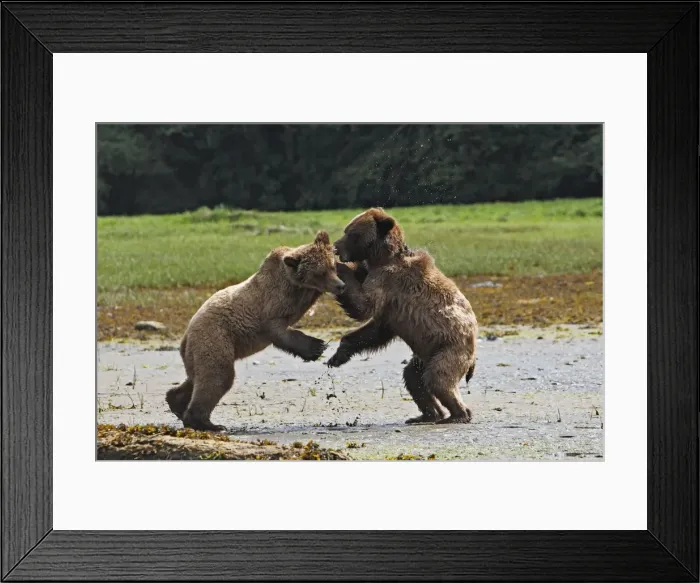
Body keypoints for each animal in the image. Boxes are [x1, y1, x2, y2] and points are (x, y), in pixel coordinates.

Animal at [166, 231, 345, 431]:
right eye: (320, 273)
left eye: (332, 266)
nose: (340, 285)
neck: (294, 286)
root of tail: (187, 333)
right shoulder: (271, 306)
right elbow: (279, 331)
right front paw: (316, 347)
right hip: (215, 337)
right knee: (218, 376)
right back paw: (207, 423)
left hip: (196, 351)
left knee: (196, 377)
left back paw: (177, 402)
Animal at [327, 208, 477, 424]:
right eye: (347, 230)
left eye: (352, 234)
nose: (336, 248)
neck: (382, 258)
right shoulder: (390, 308)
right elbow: (374, 331)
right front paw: (336, 356)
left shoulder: (388, 281)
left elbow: (363, 305)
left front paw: (338, 267)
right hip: (424, 355)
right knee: (413, 377)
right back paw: (426, 415)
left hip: (450, 347)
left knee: (438, 378)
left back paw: (457, 415)